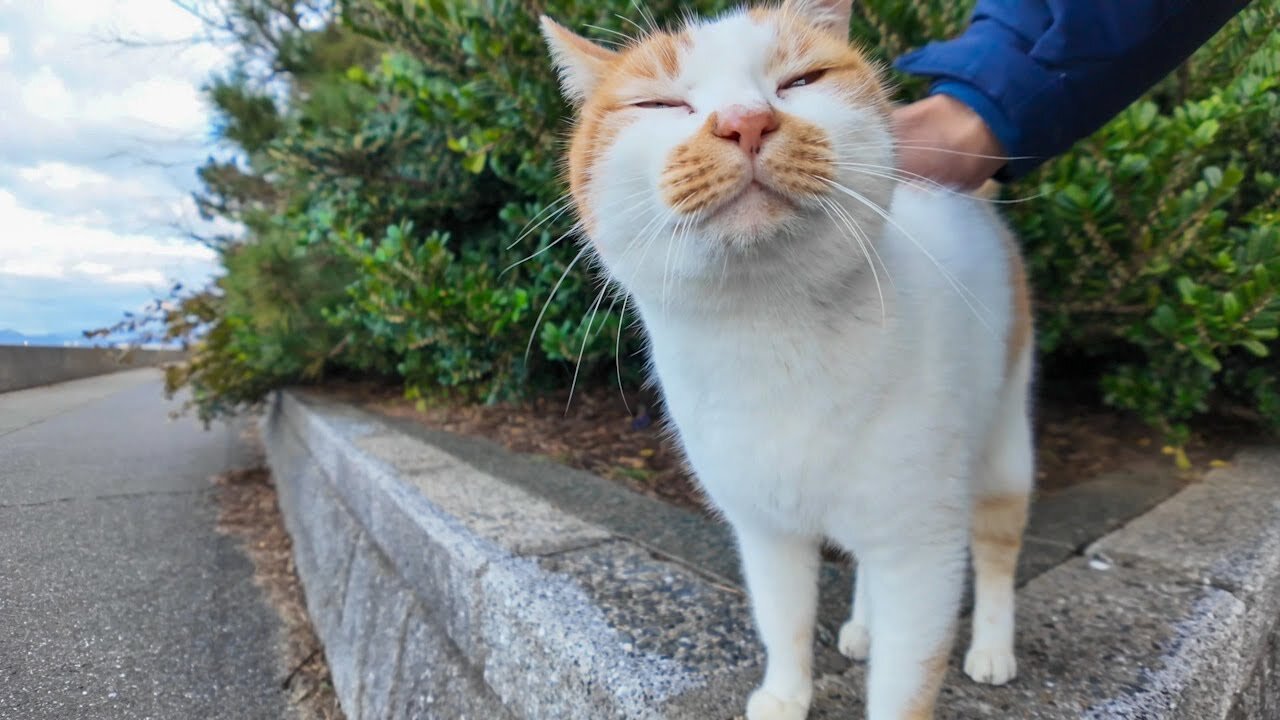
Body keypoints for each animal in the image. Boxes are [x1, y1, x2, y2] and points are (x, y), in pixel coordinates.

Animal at [545, 2, 1034, 712]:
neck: (769, 332)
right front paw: (784, 696)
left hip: (1002, 444)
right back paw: (864, 626)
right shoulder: (765, 529)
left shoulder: (920, 548)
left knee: (997, 552)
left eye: (801, 81)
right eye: (660, 102)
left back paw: (993, 648)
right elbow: (784, 621)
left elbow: (902, 684)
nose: (745, 120)